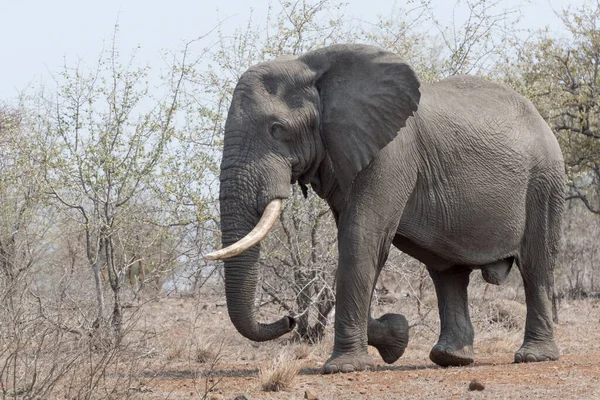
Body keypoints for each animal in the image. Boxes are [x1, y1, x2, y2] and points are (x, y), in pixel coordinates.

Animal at [205, 42, 564, 374]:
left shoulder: (390, 154)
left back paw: (534, 357)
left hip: (544, 181)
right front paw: (396, 336)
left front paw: (345, 367)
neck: (313, 68)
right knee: (448, 272)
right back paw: (451, 358)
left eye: (277, 129)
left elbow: (361, 238)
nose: (290, 318)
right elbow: (364, 244)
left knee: (536, 265)